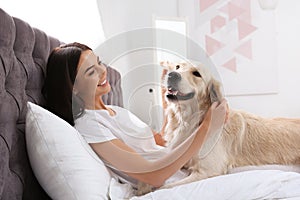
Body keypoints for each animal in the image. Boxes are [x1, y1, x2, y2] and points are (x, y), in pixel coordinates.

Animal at [157, 61, 300, 189]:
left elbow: (164, 188)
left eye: (196, 73)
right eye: (177, 67)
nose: (171, 75)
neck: (191, 120)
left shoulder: (208, 170)